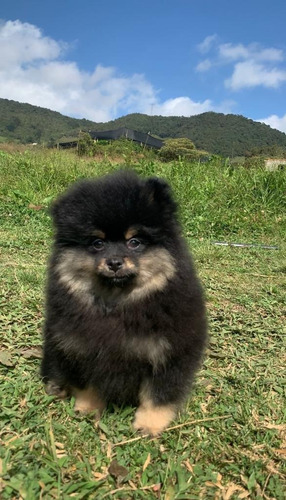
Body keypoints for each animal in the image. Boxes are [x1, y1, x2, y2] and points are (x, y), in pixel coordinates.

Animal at [41, 170, 207, 436]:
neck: (117, 304)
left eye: (134, 242)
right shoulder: (81, 348)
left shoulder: (169, 351)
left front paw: (149, 424)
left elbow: (158, 394)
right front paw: (87, 408)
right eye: (97, 243)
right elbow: (88, 384)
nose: (115, 262)